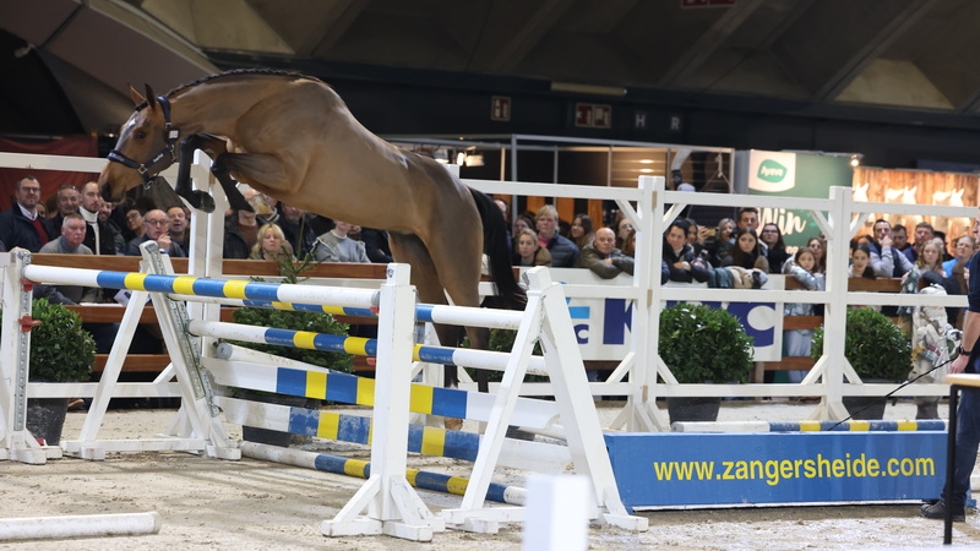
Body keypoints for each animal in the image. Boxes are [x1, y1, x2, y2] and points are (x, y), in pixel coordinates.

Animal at [98, 69, 524, 388]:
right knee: (447, 328)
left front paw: (249, 208)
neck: (258, 107)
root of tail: (465, 190)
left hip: (454, 260)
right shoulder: (238, 150)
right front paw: (203, 198)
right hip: (413, 254)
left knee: (475, 329)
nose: (105, 187)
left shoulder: (283, 175)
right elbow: (195, 146)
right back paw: (447, 416)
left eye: (140, 133)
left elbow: (219, 162)